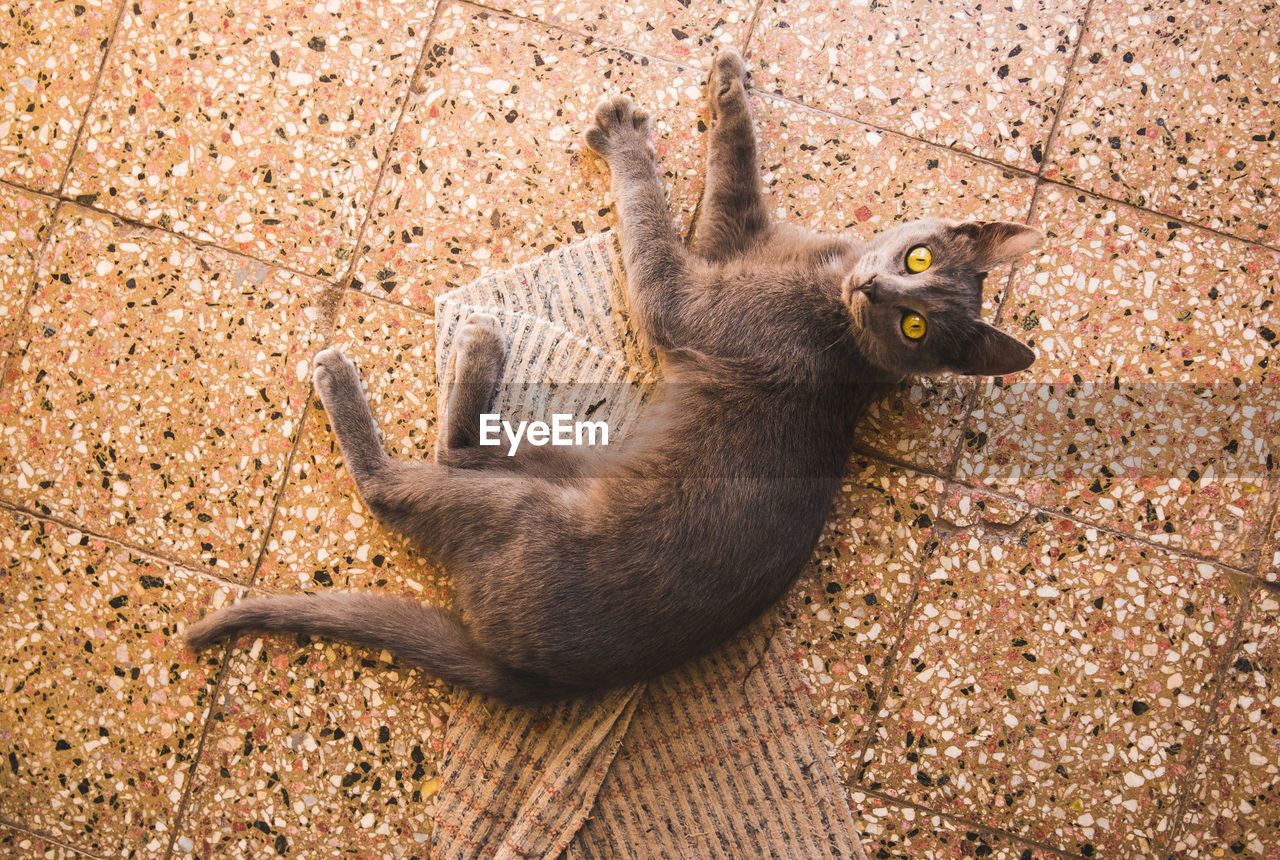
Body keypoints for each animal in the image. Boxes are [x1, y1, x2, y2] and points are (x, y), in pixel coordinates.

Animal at [186, 48, 1039, 706]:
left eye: (915, 325)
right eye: (917, 259)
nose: (877, 290)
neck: (826, 291)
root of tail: (533, 678)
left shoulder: (686, 301)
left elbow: (651, 222)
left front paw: (625, 138)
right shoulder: (735, 236)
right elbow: (735, 166)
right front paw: (729, 83)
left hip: (523, 509)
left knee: (401, 482)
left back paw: (418, 356)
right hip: (562, 459)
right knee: (461, 451)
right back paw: (480, 356)